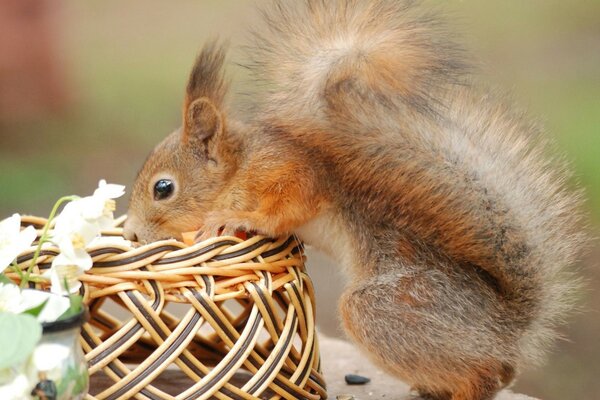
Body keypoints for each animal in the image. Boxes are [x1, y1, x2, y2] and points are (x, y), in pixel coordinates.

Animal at [123, 1, 584, 398]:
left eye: (163, 188)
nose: (131, 232)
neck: (239, 167)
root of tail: (507, 327)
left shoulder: (287, 171)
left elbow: (289, 205)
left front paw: (236, 219)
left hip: (387, 309)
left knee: (487, 373)